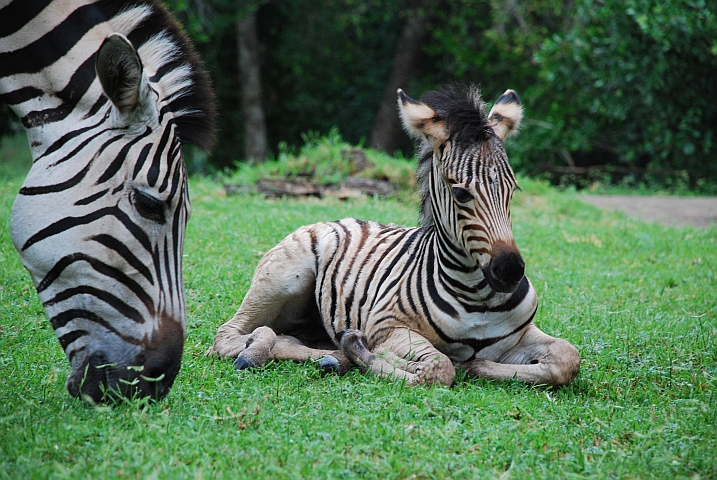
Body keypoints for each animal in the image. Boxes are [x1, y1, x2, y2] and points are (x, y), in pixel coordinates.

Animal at [208, 86, 580, 387]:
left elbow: (568, 358)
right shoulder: (387, 327)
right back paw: (263, 351)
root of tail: (329, 220)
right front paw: (373, 355)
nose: (511, 272)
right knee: (227, 336)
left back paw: (332, 357)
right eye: (460, 193)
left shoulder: (519, 336)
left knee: (288, 339)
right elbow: (438, 369)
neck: (477, 295)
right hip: (282, 280)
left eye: (512, 190)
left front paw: (480, 367)